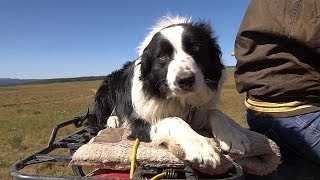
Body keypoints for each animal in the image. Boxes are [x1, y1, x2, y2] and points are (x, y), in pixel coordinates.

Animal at [91, 16, 249, 168]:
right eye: (162, 56)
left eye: (196, 47)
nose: (185, 80)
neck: (181, 100)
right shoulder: (140, 124)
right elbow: (174, 120)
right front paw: (201, 147)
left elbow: (215, 112)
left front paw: (233, 136)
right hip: (106, 90)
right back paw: (113, 120)